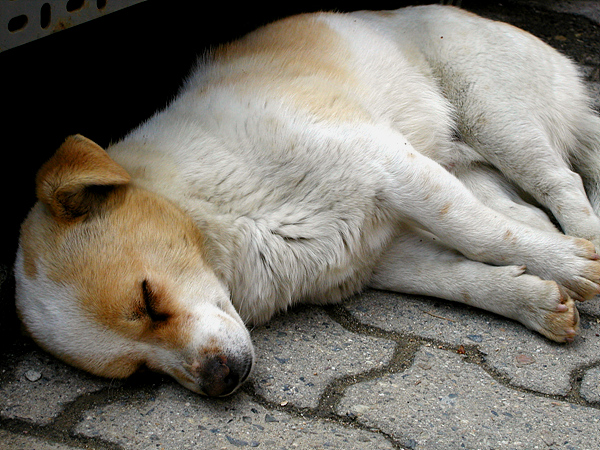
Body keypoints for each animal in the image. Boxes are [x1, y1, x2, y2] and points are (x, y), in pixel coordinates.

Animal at [12, 5, 600, 396]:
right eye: (137, 372)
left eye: (148, 298)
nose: (221, 380)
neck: (221, 215)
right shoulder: (382, 255)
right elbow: (462, 279)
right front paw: (534, 300)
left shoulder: (391, 167)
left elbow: (479, 234)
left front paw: (566, 266)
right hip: (469, 164)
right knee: (525, 210)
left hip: (496, 117)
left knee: (563, 185)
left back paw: (584, 240)